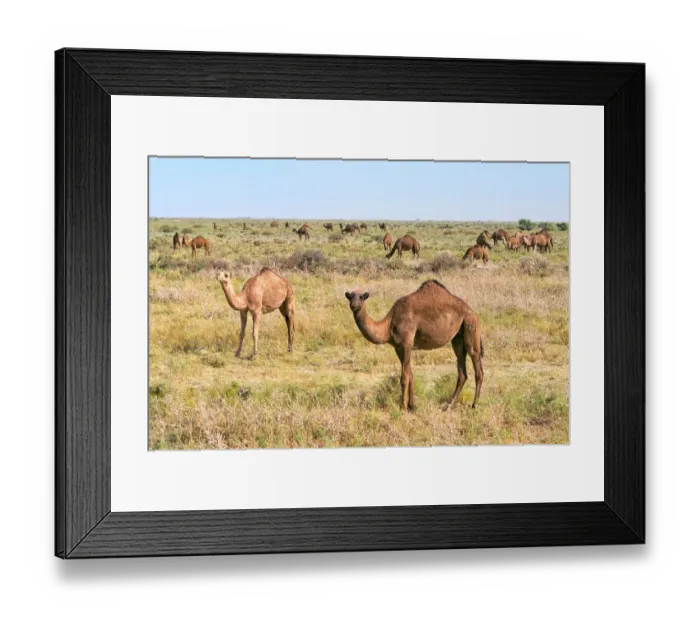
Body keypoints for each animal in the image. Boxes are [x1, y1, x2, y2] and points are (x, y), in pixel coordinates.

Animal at [345, 280, 484, 412]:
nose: (353, 305)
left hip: (471, 327)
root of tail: (473, 312)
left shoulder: (406, 344)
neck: (389, 325)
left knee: (477, 367)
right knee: (462, 372)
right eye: (350, 297)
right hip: (457, 339)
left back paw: (474, 405)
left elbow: (404, 377)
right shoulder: (398, 348)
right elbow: (410, 374)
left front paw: (404, 407)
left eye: (361, 297)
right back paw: (448, 406)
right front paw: (412, 405)